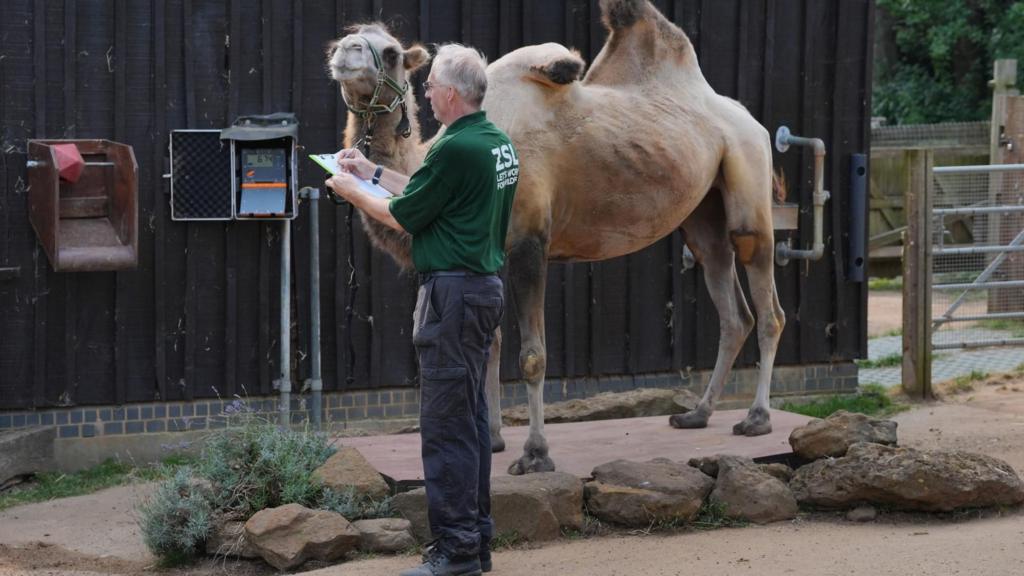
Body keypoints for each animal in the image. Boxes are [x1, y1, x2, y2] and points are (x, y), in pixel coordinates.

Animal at [325, 0, 782, 475]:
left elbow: (531, 356)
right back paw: (698, 413)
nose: (345, 51)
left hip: (749, 177)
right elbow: (491, 343)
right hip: (702, 213)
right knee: (731, 306)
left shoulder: (530, 241)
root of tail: (751, 120)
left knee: (767, 304)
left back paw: (757, 418)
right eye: (349, 38)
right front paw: (492, 439)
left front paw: (535, 453)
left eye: (392, 52)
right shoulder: (490, 254)